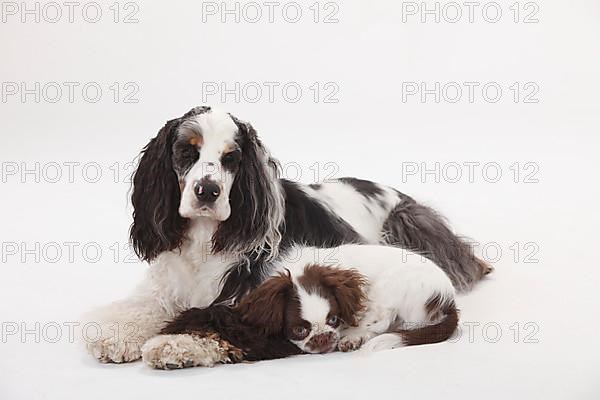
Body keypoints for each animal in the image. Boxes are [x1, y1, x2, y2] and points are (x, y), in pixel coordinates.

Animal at [83, 106, 488, 366]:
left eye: (231, 158)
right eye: (186, 152)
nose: (207, 191)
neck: (205, 239)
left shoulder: (248, 300)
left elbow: (218, 330)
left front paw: (172, 345)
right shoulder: (168, 288)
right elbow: (139, 308)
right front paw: (114, 335)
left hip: (406, 225)